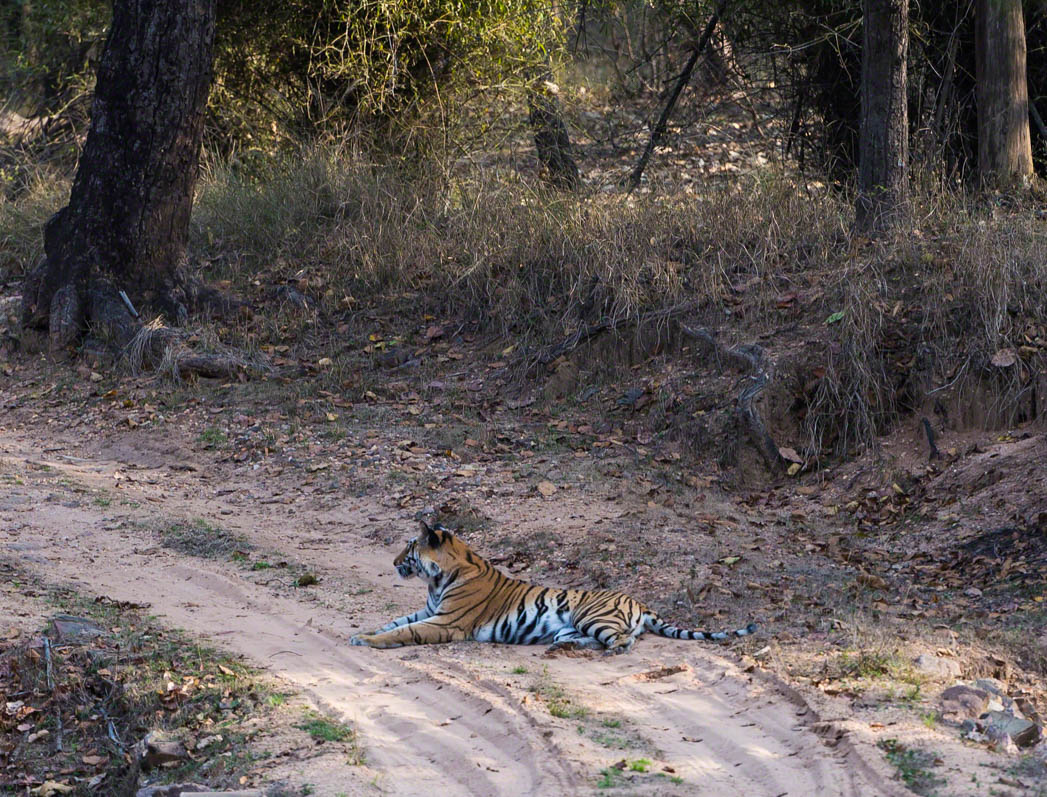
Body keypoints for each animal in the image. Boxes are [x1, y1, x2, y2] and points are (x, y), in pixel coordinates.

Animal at [349, 521, 757, 654]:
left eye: (409, 547)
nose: (393, 562)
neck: (438, 579)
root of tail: (637, 601)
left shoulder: (445, 621)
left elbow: (403, 631)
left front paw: (369, 641)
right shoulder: (430, 610)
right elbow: (395, 622)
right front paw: (361, 633)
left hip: (591, 615)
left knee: (624, 641)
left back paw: (607, 650)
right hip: (574, 624)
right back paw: (564, 646)